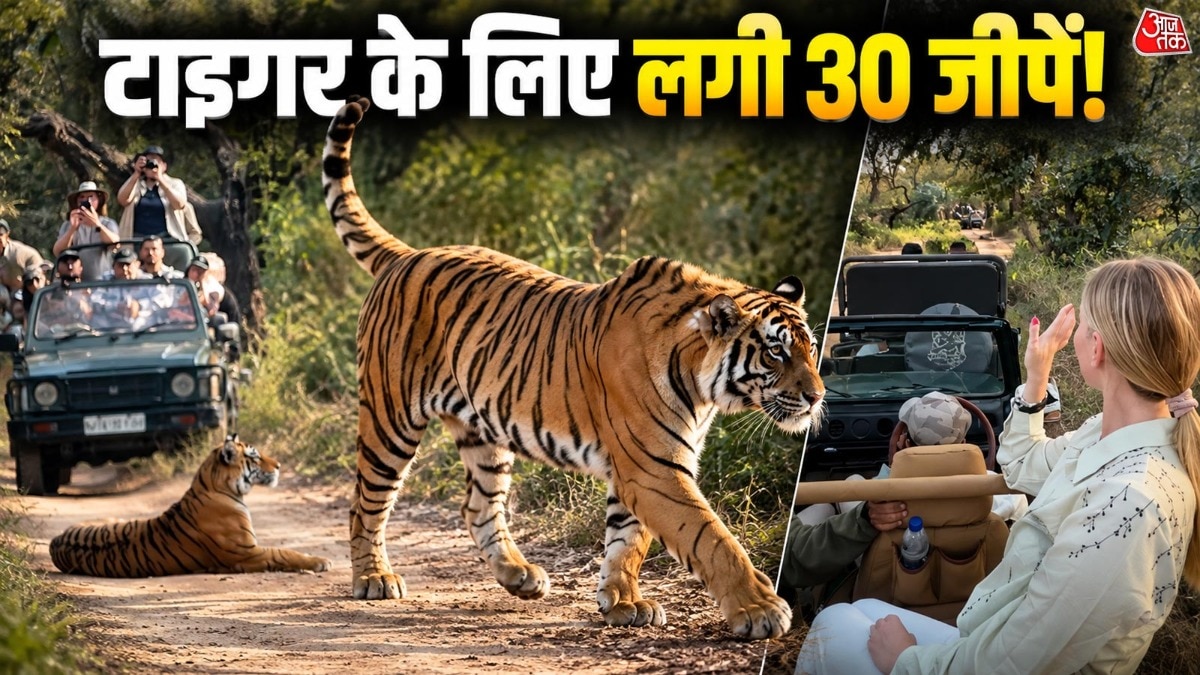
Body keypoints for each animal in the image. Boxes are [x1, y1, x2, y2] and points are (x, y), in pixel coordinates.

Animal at [49, 436, 332, 578]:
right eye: (255, 456)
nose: (280, 466)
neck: (217, 487)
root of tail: (55, 539)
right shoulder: (247, 553)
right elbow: (285, 553)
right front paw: (321, 561)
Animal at [322, 96, 825, 640]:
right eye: (776, 352)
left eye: (811, 348)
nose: (818, 397)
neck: (700, 380)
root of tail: (411, 254)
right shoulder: (654, 465)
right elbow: (711, 537)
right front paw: (760, 609)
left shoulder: (641, 465)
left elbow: (628, 539)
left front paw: (623, 601)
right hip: (390, 418)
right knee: (365, 502)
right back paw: (374, 578)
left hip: (483, 431)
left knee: (477, 505)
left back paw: (519, 576)